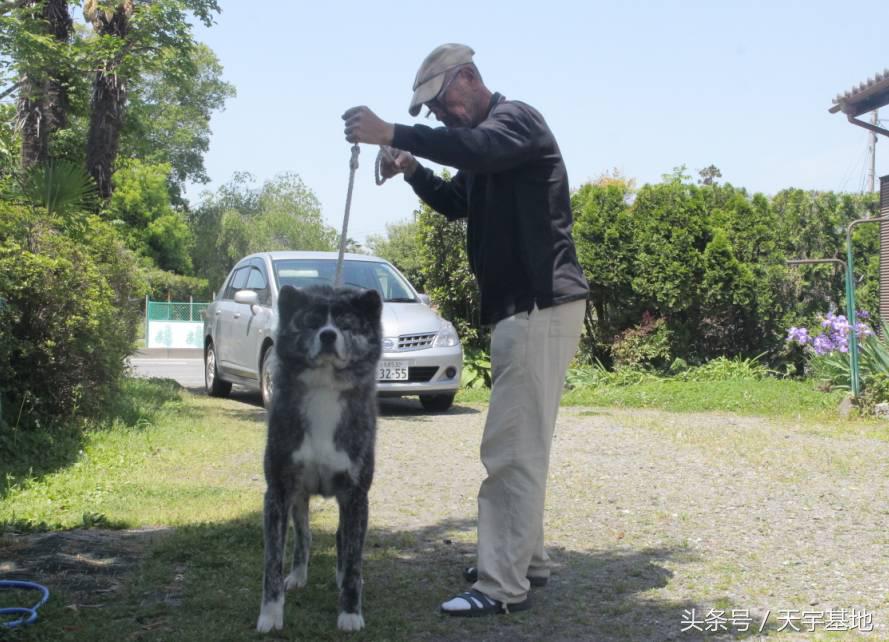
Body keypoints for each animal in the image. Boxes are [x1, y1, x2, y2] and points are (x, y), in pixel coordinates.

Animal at [256, 284, 382, 632]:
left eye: (346, 325)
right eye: (312, 322)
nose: (328, 335)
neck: (325, 389)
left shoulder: (356, 495)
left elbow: (353, 560)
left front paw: (350, 612)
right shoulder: (278, 492)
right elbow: (273, 560)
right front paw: (271, 614)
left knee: (342, 540)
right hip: (298, 498)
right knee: (304, 535)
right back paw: (298, 575)